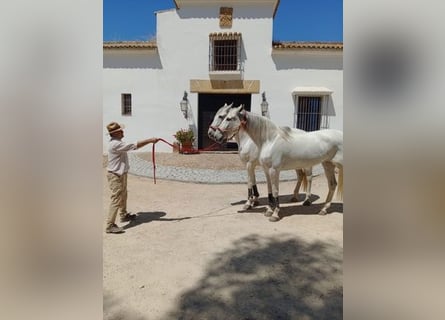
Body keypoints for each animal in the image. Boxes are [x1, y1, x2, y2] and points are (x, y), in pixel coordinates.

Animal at [212, 105, 344, 220]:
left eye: (228, 118)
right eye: (223, 116)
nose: (216, 136)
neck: (270, 140)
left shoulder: (272, 170)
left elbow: (274, 190)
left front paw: (274, 214)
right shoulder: (265, 170)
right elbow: (269, 189)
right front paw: (268, 209)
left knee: (310, 178)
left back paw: (307, 201)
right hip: (327, 164)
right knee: (331, 184)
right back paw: (323, 209)